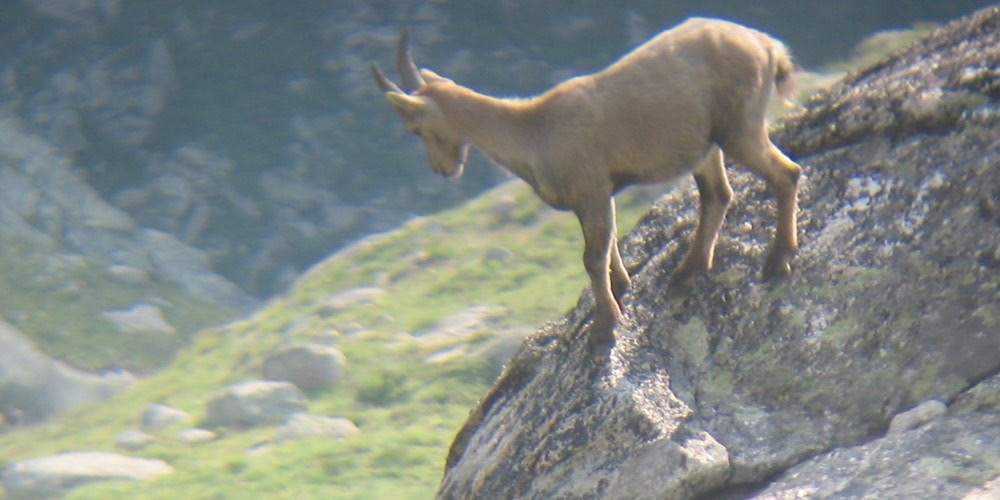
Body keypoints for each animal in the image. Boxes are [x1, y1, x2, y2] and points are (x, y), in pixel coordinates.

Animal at [372, 18, 803, 355]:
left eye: (416, 128)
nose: (442, 169)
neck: (533, 130)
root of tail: (766, 44)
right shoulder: (594, 198)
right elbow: (608, 248)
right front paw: (622, 288)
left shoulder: (592, 190)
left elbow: (591, 259)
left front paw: (604, 330)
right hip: (706, 147)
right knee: (718, 195)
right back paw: (688, 271)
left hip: (740, 128)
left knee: (787, 173)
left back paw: (777, 261)